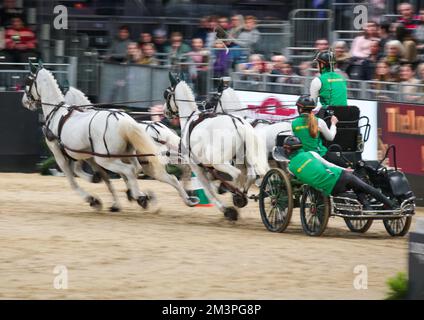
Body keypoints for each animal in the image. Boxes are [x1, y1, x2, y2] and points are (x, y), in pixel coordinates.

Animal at [24, 63, 200, 212]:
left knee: (136, 171)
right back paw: (186, 197)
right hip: (152, 160)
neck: (59, 114)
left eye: (28, 82)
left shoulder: (63, 155)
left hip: (113, 159)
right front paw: (114, 196)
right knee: (174, 175)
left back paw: (142, 196)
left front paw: (95, 199)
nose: (25, 101)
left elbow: (74, 180)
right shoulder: (85, 156)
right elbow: (103, 179)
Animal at [162, 74, 268, 220]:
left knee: (236, 174)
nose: (165, 111)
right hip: (245, 159)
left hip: (219, 162)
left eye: (167, 94)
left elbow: (208, 190)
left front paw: (225, 209)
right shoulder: (209, 168)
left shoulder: (197, 166)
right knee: (251, 176)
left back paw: (236, 196)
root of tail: (238, 124)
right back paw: (240, 197)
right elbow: (212, 184)